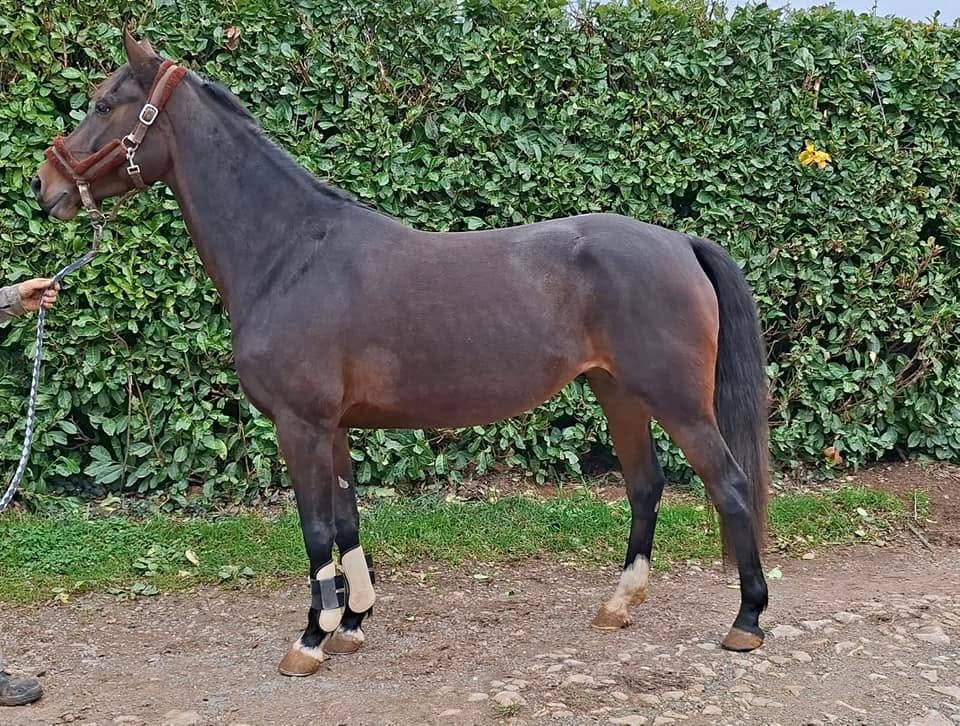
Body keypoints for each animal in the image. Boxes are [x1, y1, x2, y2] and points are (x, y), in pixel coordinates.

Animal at [32, 31, 770, 676]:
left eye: (104, 102)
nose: (46, 186)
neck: (289, 252)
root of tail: (679, 243)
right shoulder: (331, 428)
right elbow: (346, 521)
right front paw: (352, 623)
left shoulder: (300, 426)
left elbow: (315, 530)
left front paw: (310, 638)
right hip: (618, 393)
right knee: (645, 487)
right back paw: (619, 606)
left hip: (678, 403)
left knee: (729, 486)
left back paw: (748, 621)